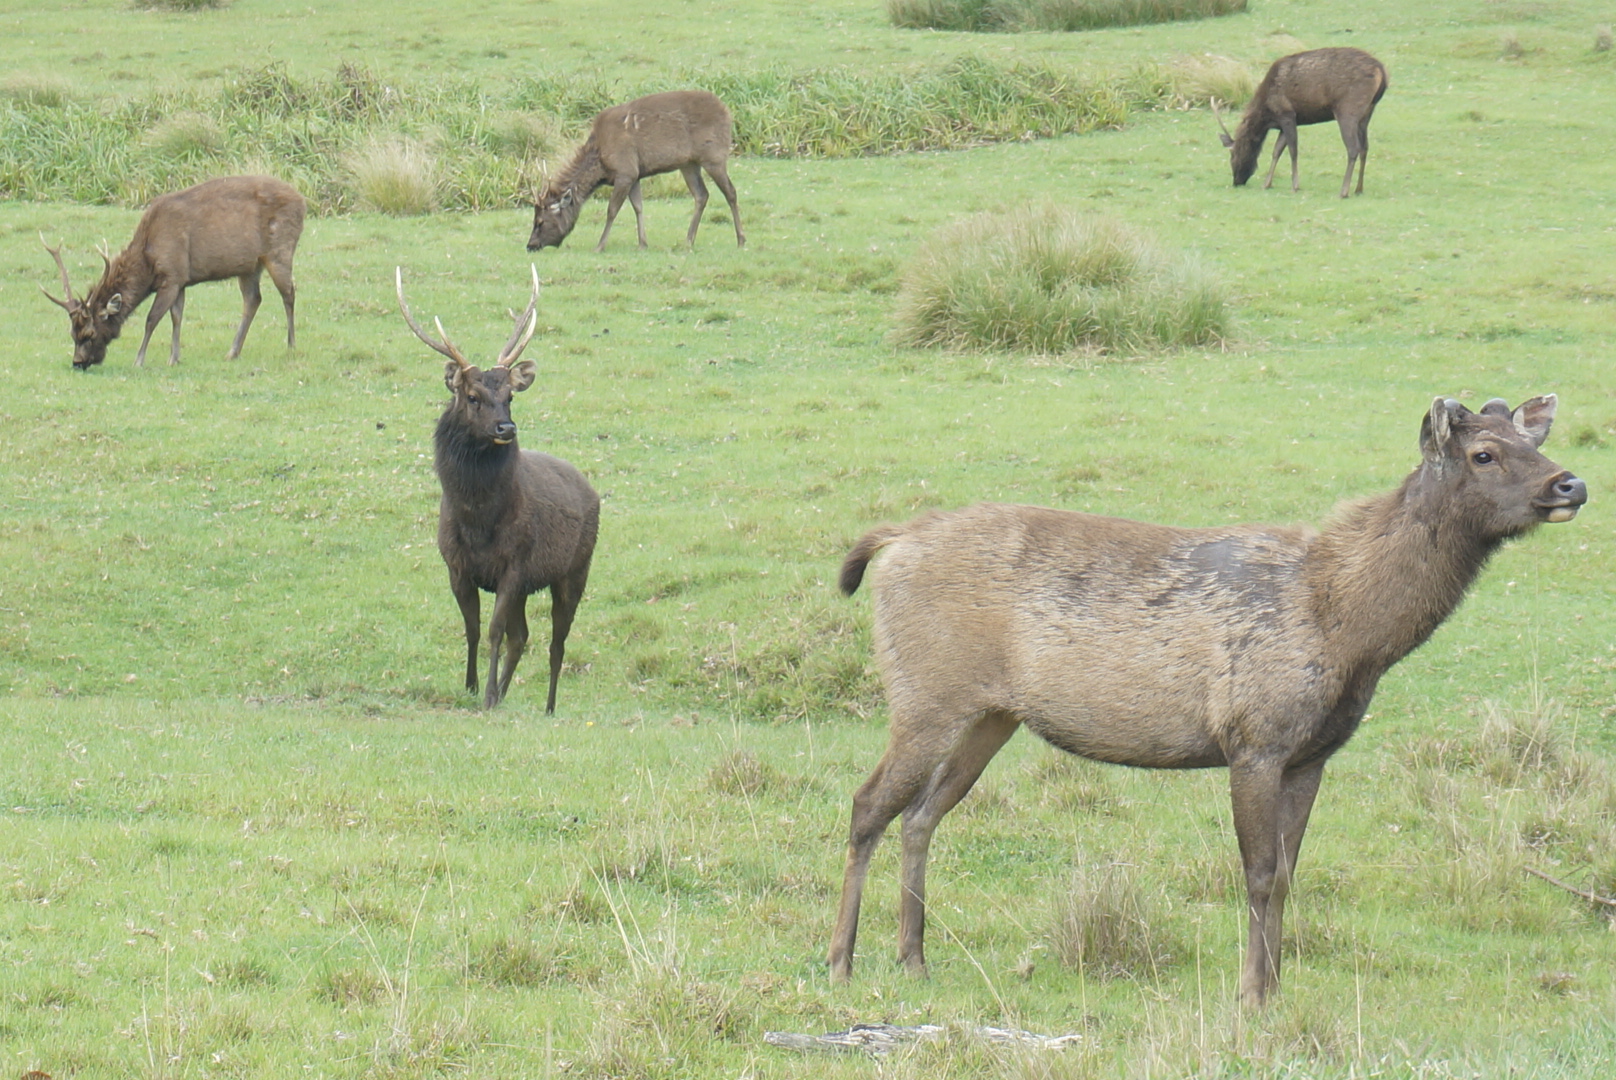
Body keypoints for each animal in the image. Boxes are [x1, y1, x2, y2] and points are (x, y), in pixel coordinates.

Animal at [41, 172, 303, 367]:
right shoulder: (181, 280)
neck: (148, 256)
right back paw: (232, 351)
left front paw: (139, 360)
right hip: (249, 265)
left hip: (280, 250)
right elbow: (177, 316)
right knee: (253, 299)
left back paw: (291, 345)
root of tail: (303, 201)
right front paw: (174, 357)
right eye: (72, 334)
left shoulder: (171, 276)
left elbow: (152, 319)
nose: (78, 362)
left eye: (90, 334)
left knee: (289, 293)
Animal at [395, 266, 601, 711]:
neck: (478, 521)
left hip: (575, 570)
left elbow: (493, 630)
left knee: (556, 643)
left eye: (510, 396)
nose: (506, 428)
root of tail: (592, 491)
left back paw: (548, 706)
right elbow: (473, 628)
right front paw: (473, 686)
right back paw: (506, 694)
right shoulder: (457, 566)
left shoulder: (516, 565)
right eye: (472, 396)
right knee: (522, 636)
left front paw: (487, 693)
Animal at [526, 89, 746, 253]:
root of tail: (727, 112)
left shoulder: (625, 171)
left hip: (714, 155)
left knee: (731, 192)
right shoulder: (635, 175)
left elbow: (612, 210)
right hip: (689, 163)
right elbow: (638, 207)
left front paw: (600, 245)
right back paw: (688, 240)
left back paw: (741, 239)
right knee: (702, 195)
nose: (530, 245)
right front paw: (642, 243)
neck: (601, 163)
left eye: (540, 221)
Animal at [833, 396, 1590, 1015]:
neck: (1351, 631)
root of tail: (890, 542)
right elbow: (1257, 873)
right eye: (1483, 453)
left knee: (921, 814)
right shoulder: (1254, 737)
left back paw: (914, 959)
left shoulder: (1311, 755)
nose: (1571, 483)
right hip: (926, 693)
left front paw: (1276, 991)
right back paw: (842, 961)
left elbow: (1286, 876)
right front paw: (1249, 996)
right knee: (868, 804)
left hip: (991, 715)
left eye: (1534, 439)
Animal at [1215, 46, 1389, 200]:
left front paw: (1295, 186)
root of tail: (1382, 71)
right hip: (1367, 113)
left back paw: (1343, 191)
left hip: (1348, 109)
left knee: (1353, 148)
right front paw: (1267, 183)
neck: (1266, 114)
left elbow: (1292, 150)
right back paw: (1358, 189)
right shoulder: (1284, 122)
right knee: (1365, 148)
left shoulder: (1286, 114)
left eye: (1233, 154)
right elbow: (1277, 150)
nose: (1237, 181)